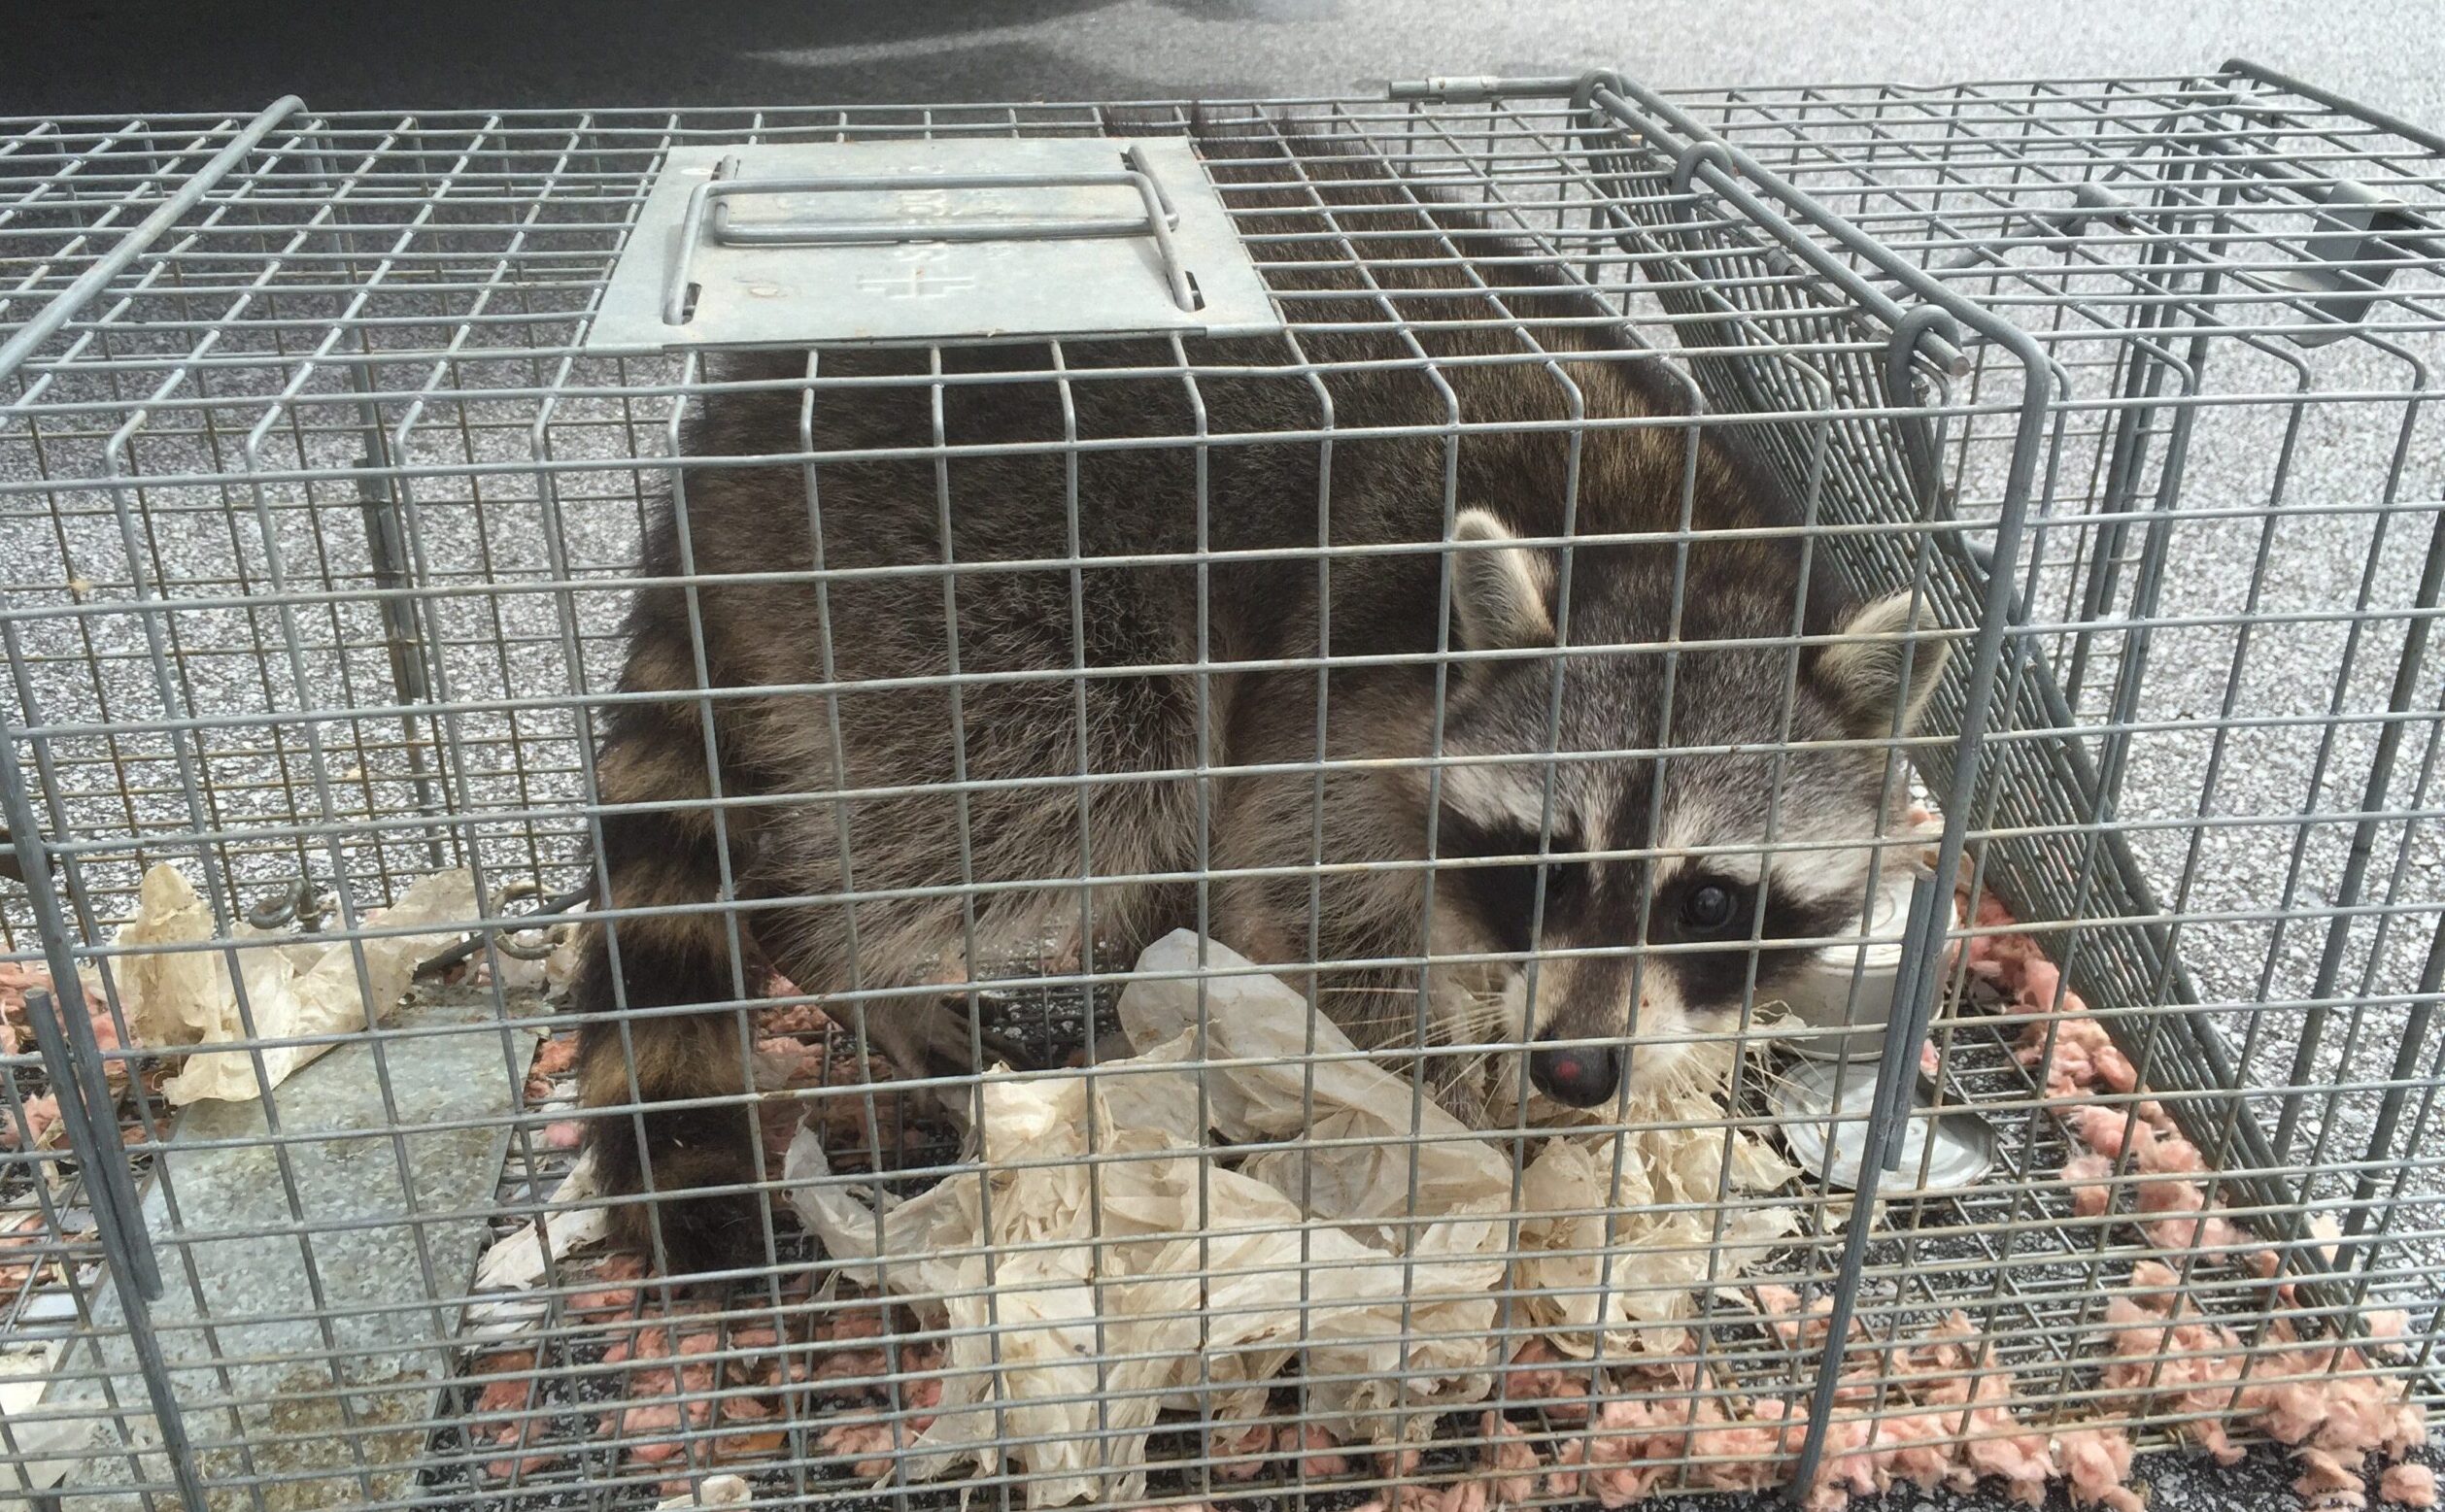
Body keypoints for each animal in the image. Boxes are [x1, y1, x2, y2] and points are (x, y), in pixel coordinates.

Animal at [570, 130, 1949, 1273]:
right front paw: (1448, 1117)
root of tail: (732, 436)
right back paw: (850, 962)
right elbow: (1304, 894)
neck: (1668, 558)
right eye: (1547, 863)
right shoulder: (1351, 677)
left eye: (1709, 899)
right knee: (1079, 769)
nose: (1574, 1065)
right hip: (970, 560)